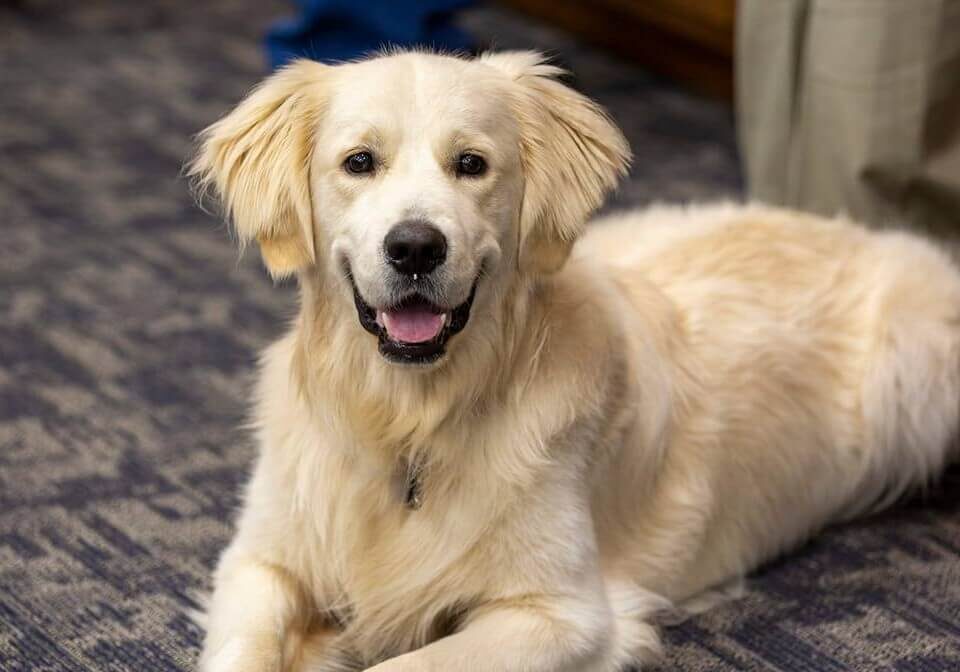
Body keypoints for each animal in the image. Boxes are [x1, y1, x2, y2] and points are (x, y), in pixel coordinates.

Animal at [191, 50, 960, 668]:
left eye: (471, 164)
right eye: (359, 162)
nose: (414, 247)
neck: (409, 422)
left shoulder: (564, 614)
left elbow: (409, 665)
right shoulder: (259, 562)